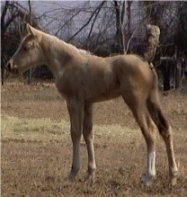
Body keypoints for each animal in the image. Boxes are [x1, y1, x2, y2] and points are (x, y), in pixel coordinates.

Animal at [6, 24, 178, 186]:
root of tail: (145, 61)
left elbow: (75, 133)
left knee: (150, 131)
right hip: (152, 100)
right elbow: (88, 134)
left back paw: (149, 177)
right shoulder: (89, 104)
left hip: (136, 102)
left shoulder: (74, 102)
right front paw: (90, 174)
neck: (68, 63)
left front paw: (73, 172)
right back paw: (173, 175)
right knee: (165, 129)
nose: (9, 65)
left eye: (26, 47)